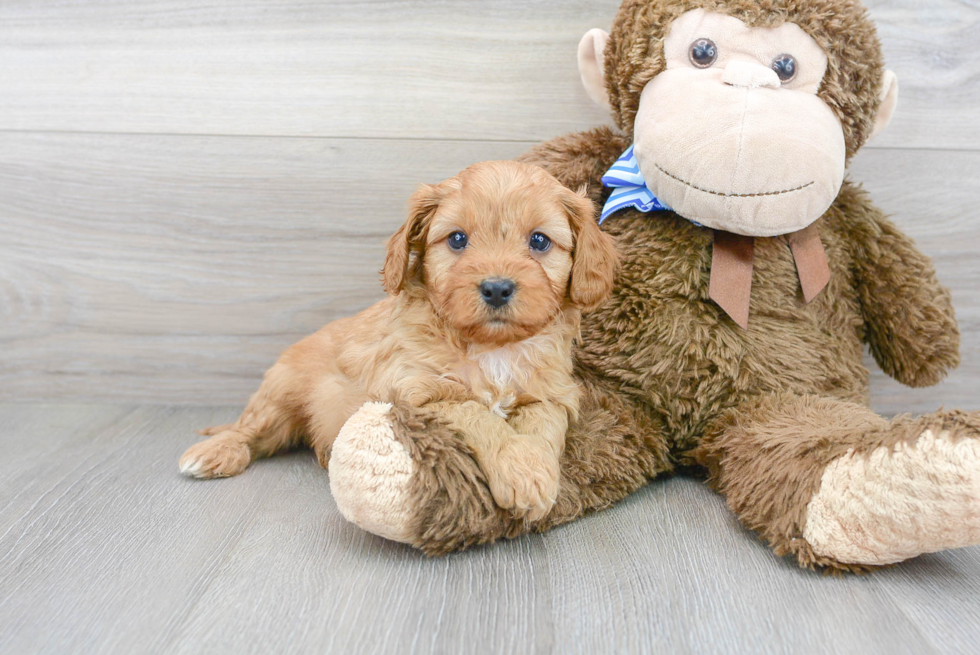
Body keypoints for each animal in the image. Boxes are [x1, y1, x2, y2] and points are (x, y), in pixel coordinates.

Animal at [180, 160, 616, 524]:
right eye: (457, 239)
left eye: (539, 242)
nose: (496, 288)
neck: (492, 349)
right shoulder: (418, 393)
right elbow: (477, 415)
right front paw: (518, 468)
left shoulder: (552, 394)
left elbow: (543, 427)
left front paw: (533, 471)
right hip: (280, 393)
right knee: (249, 429)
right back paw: (213, 452)